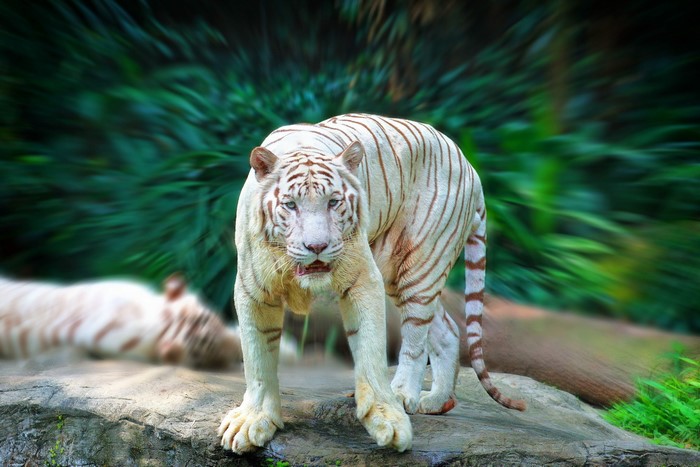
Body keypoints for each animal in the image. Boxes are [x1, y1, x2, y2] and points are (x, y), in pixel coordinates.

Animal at [219, 113, 526, 454]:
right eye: (290, 205)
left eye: (333, 202)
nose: (317, 246)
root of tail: (469, 164)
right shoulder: (253, 291)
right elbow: (257, 359)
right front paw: (253, 421)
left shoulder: (363, 279)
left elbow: (370, 352)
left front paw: (387, 419)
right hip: (398, 274)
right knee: (447, 330)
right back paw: (436, 401)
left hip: (420, 264)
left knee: (416, 338)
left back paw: (404, 395)